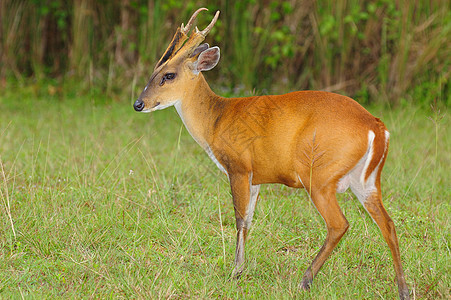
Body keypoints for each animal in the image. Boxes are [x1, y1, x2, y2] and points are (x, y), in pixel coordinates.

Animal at [132, 8, 412, 298]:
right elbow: (248, 221)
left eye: (169, 75)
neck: (216, 120)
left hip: (319, 176)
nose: (138, 104)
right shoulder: (255, 178)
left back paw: (305, 280)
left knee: (339, 224)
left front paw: (234, 272)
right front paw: (240, 269)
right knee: (388, 224)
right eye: (154, 71)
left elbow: (239, 219)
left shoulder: (239, 167)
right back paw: (403, 288)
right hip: (366, 180)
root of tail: (376, 126)